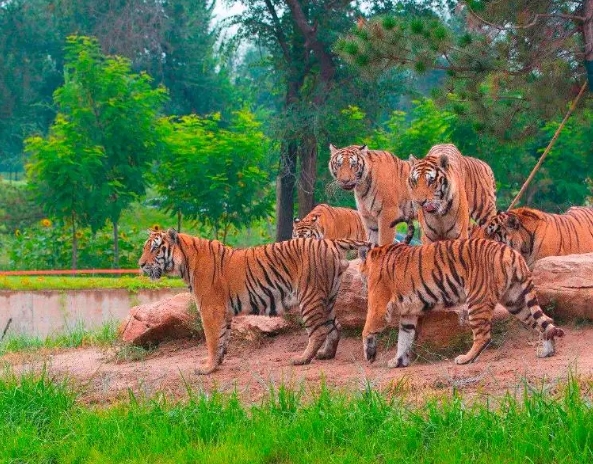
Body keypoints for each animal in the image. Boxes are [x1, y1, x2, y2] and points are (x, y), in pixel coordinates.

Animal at [139, 230, 368, 376]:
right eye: (145, 249)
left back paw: (302, 359)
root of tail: (329, 241)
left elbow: (212, 339)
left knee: (319, 330)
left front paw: (207, 368)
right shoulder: (223, 311)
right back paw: (325, 355)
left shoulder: (210, 309)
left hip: (310, 296)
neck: (185, 263)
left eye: (155, 249)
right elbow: (222, 339)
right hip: (328, 297)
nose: (140, 265)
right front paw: (217, 362)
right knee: (334, 326)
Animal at [358, 237, 560, 368]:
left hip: (477, 300)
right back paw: (547, 352)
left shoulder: (378, 306)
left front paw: (369, 355)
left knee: (483, 336)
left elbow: (367, 330)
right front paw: (399, 361)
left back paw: (465, 359)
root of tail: (511, 252)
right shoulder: (409, 312)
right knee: (545, 322)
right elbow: (404, 338)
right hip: (516, 300)